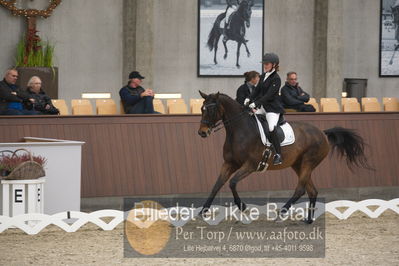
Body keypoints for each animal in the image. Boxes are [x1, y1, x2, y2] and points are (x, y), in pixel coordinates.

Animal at [198, 91, 372, 222]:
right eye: (201, 108)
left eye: (211, 110)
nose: (202, 133)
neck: (239, 131)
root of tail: (322, 133)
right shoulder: (229, 163)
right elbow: (217, 185)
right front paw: (203, 211)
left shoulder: (250, 165)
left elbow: (232, 182)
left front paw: (243, 206)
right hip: (298, 165)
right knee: (312, 191)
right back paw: (308, 219)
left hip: (308, 162)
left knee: (300, 189)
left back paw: (281, 213)